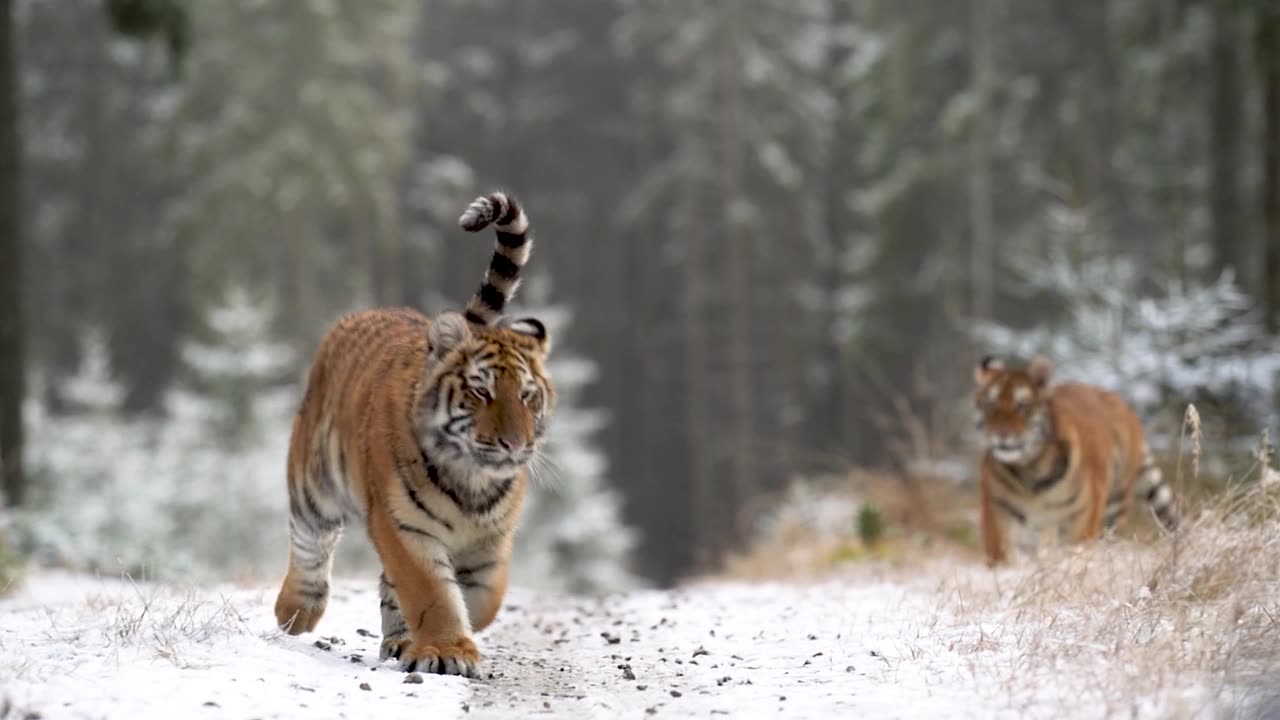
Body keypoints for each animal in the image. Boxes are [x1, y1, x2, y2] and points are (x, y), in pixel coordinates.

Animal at [273, 191, 555, 678]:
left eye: (527, 396)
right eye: (481, 392)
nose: (514, 445)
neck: (472, 481)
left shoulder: (492, 539)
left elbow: (484, 594)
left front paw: (453, 631)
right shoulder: (403, 525)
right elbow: (431, 590)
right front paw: (449, 649)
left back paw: (400, 640)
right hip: (313, 482)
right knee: (311, 543)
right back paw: (295, 613)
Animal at [972, 353, 1177, 566]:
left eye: (1022, 406)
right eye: (990, 405)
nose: (1001, 434)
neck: (1031, 470)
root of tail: (1124, 406)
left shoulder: (1079, 521)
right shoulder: (1000, 518)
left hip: (1115, 505)